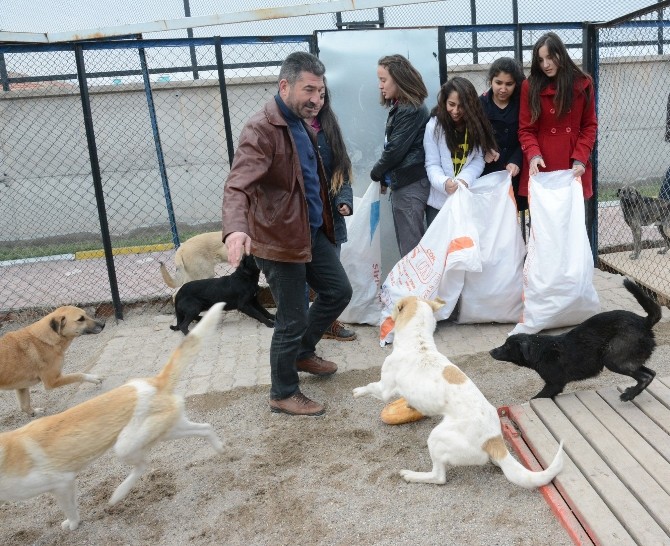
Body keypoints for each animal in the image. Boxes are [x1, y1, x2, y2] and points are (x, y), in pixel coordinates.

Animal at [0, 302, 227, 528]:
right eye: (81, 318)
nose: (102, 324)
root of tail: (153, 383)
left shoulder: (62, 483)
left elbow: (70, 510)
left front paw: (72, 524)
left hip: (126, 445)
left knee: (143, 465)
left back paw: (118, 494)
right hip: (168, 429)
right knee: (205, 428)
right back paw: (220, 448)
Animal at [354, 296, 564, 486]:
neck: (419, 343)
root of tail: (494, 440)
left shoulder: (384, 389)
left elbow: (370, 388)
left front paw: (357, 391)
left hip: (436, 438)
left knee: (439, 477)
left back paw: (412, 475)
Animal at [490, 276, 664, 400]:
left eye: (507, 346)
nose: (491, 351)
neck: (540, 350)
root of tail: (644, 321)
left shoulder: (554, 384)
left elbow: (536, 397)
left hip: (613, 358)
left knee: (645, 377)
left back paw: (628, 395)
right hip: (629, 360)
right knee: (651, 373)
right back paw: (633, 392)